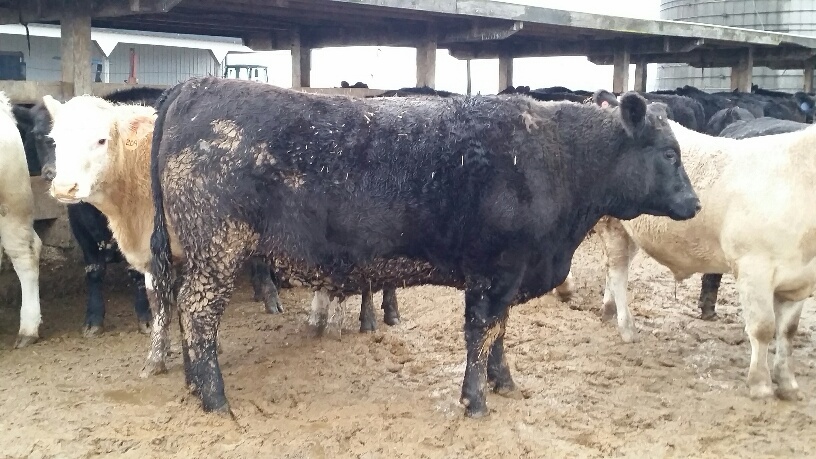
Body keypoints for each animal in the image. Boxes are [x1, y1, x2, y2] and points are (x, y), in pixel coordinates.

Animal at [31, 87, 284, 338]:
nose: (62, 185)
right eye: (52, 140)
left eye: (101, 140)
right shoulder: (82, 230)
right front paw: (93, 320)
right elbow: (95, 272)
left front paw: (146, 319)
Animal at [596, 119, 816, 402]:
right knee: (618, 272)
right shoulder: (753, 267)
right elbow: (763, 328)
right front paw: (761, 384)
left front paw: (788, 384)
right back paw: (627, 327)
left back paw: (609, 309)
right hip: (611, 222)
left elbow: (788, 332)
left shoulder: (801, 280)